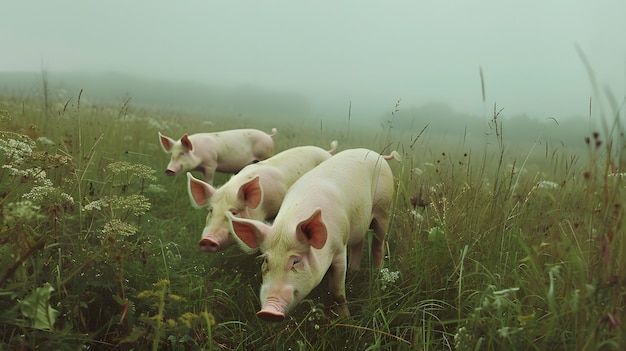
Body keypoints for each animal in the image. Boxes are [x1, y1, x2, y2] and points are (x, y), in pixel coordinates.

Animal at [227, 148, 398, 322]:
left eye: (296, 261)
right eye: (266, 260)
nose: (268, 312)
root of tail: (375, 154)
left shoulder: (339, 247)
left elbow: (337, 292)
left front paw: (345, 319)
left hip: (385, 208)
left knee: (378, 245)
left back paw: (376, 274)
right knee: (359, 242)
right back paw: (354, 270)